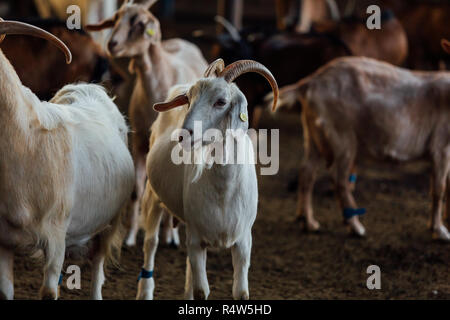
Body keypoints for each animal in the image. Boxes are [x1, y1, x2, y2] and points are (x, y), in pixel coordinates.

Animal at [0, 20, 134, 300]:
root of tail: (90, 87)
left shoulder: (55, 237)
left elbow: (49, 292)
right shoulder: (3, 240)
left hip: (109, 222)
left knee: (98, 264)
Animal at [135, 58, 280, 300]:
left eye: (221, 102)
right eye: (188, 99)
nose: (183, 135)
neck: (224, 192)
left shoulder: (243, 242)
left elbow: (240, 292)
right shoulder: (196, 240)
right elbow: (202, 291)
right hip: (153, 195)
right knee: (150, 243)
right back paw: (145, 291)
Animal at [276, 57, 448, 240]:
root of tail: (310, 82)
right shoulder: (441, 147)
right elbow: (439, 188)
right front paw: (440, 231)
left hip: (313, 134)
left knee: (307, 172)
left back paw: (308, 222)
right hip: (342, 136)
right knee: (339, 178)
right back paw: (356, 227)